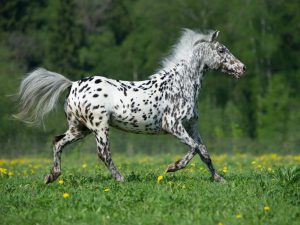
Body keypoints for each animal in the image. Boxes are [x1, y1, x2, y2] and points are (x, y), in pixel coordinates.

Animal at [14, 29, 246, 184]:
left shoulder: (191, 126)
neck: (180, 84)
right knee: (103, 153)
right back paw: (121, 178)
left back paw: (51, 176)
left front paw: (219, 179)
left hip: (80, 128)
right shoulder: (172, 124)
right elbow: (194, 148)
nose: (242, 68)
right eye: (222, 50)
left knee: (58, 142)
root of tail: (72, 85)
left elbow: (204, 151)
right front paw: (172, 167)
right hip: (99, 127)